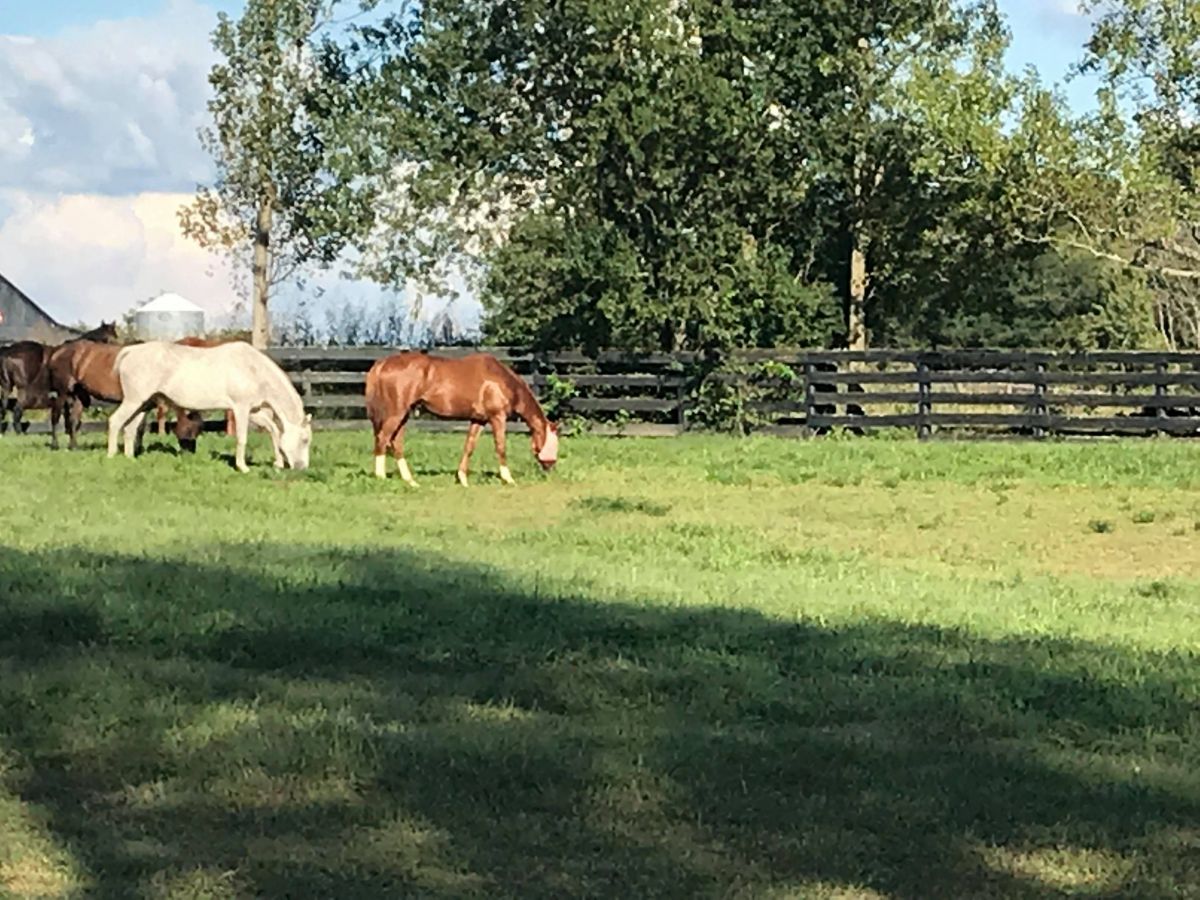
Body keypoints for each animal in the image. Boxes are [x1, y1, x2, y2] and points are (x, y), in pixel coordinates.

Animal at [107, 340, 312, 475]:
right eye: (305, 440)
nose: (302, 468)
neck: (253, 369)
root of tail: (130, 351)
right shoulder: (241, 408)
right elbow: (242, 438)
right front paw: (242, 467)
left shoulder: (254, 412)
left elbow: (274, 431)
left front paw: (278, 464)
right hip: (134, 401)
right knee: (115, 421)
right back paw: (111, 455)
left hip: (143, 404)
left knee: (130, 428)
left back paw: (129, 457)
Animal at [364, 355, 556, 494]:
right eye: (553, 443)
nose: (551, 467)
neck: (501, 380)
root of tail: (382, 363)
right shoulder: (497, 418)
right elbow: (501, 447)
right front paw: (508, 479)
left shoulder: (479, 420)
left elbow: (469, 447)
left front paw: (462, 479)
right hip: (396, 413)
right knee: (382, 439)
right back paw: (381, 477)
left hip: (403, 415)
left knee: (395, 443)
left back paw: (411, 481)